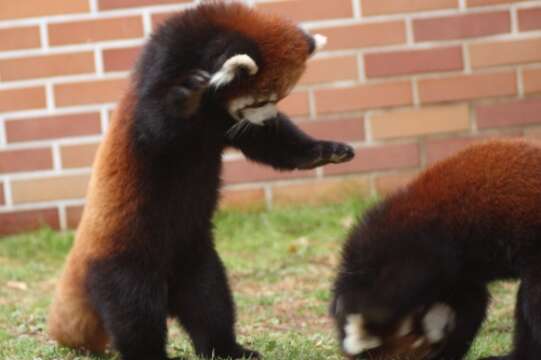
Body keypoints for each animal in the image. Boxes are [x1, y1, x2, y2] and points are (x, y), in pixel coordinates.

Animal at [48, 2, 354, 360]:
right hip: (124, 259)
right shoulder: (157, 79)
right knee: (134, 313)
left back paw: (228, 348)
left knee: (210, 302)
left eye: (278, 99)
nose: (269, 118)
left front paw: (324, 151)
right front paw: (186, 96)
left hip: (195, 257)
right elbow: (155, 126)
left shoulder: (225, 122)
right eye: (259, 100)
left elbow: (270, 143)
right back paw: (151, 351)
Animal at [332, 140, 540, 360]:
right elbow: (472, 304)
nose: (440, 329)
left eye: (417, 339)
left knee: (533, 301)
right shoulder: (457, 277)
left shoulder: (417, 254)